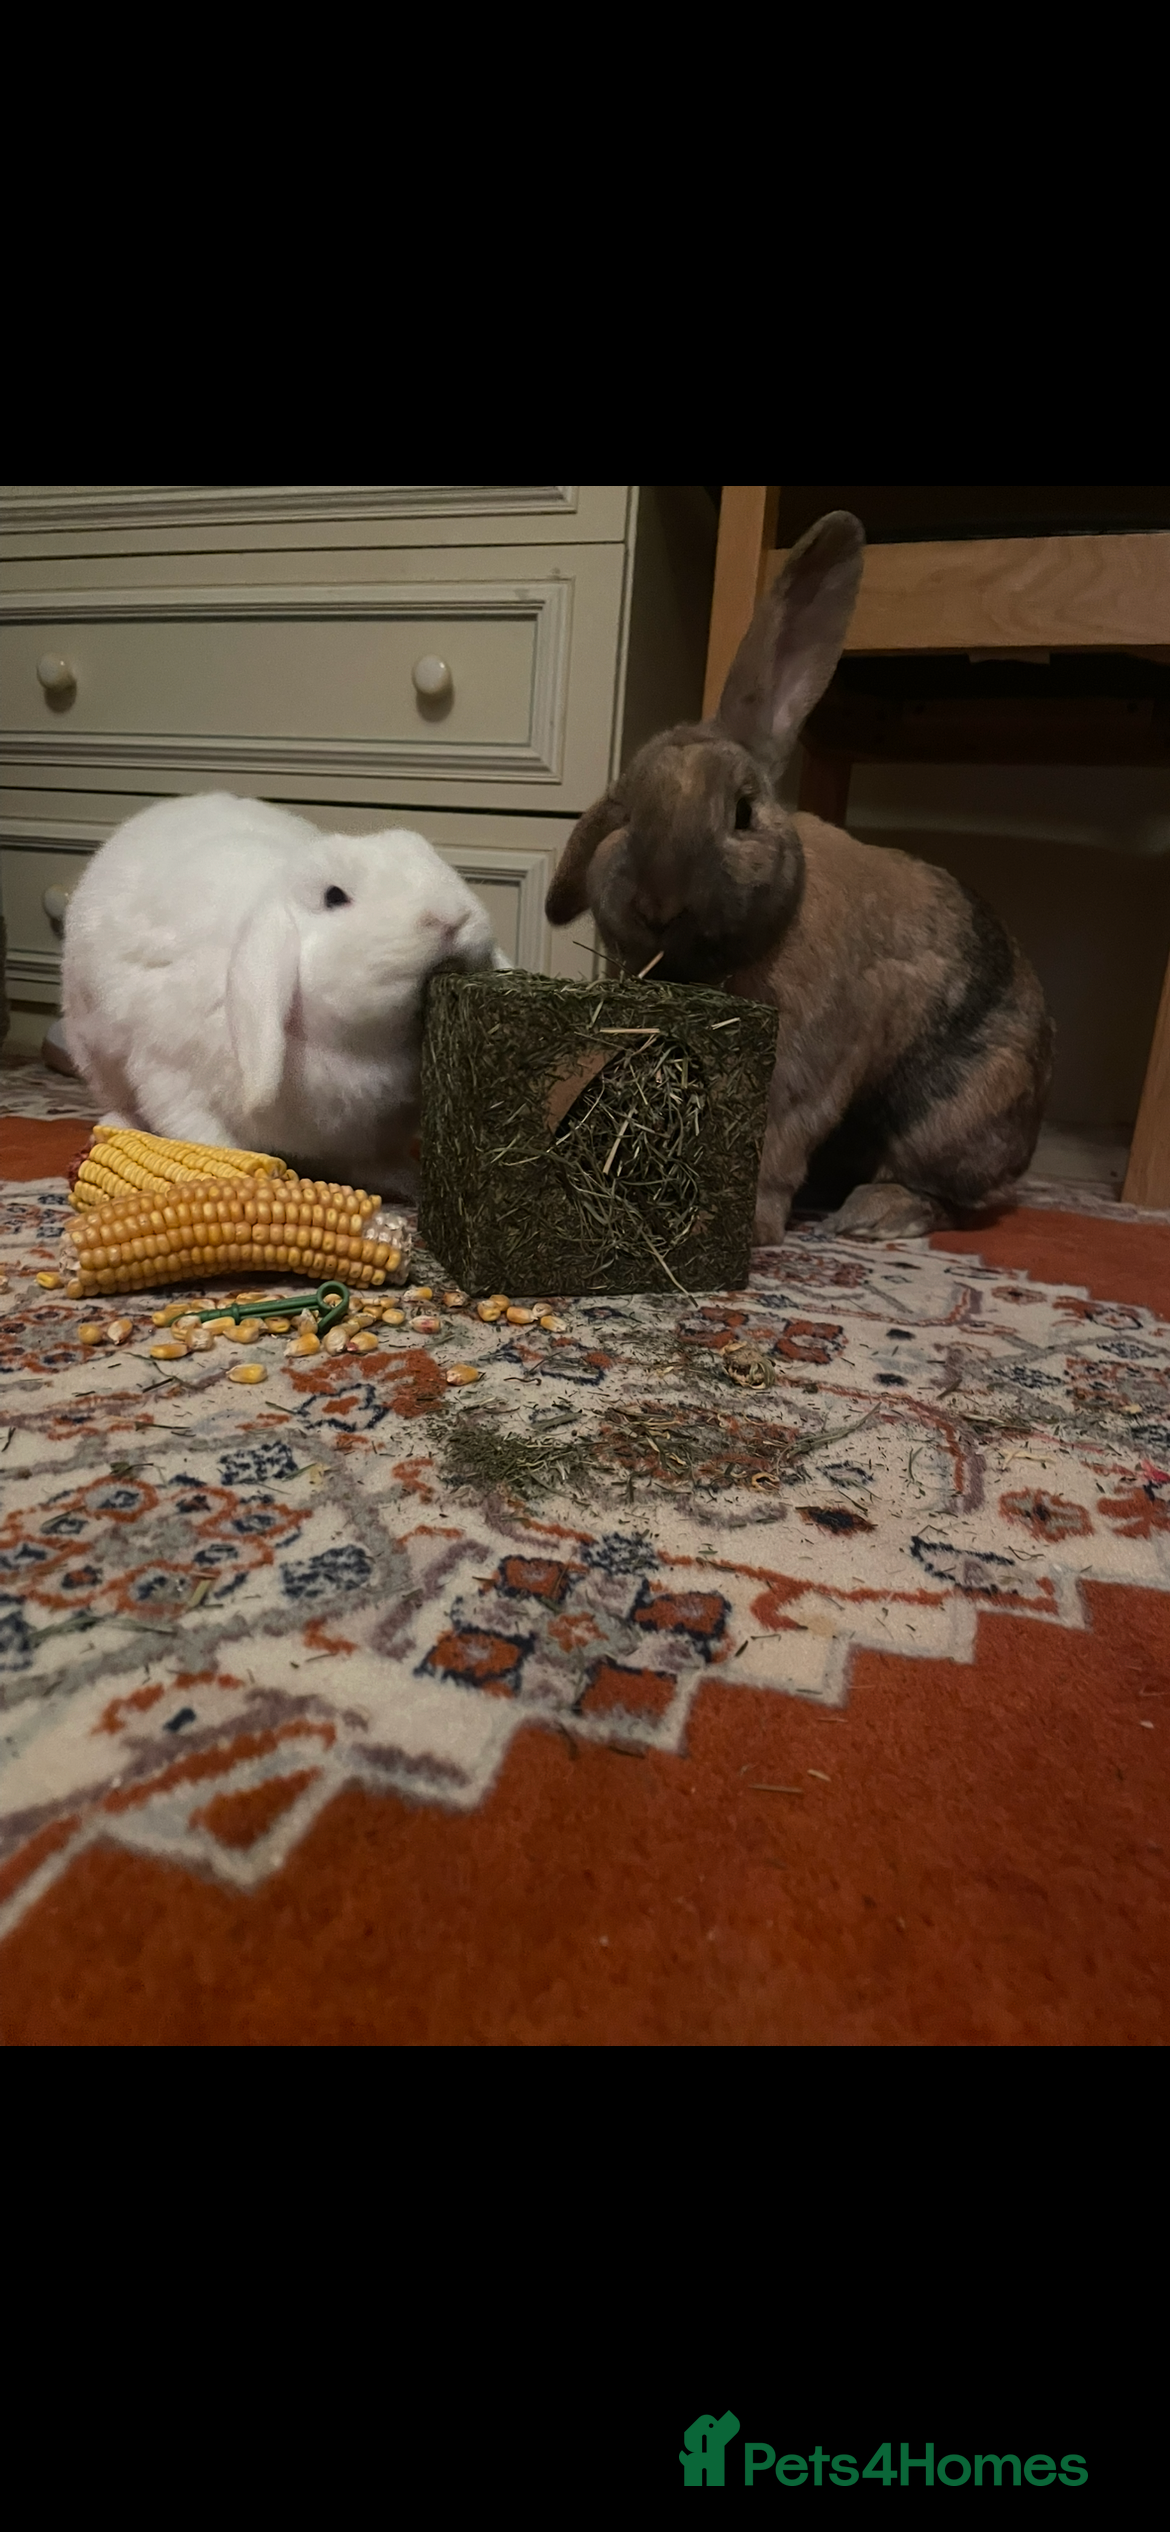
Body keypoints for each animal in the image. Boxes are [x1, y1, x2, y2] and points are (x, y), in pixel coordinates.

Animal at [61, 792, 502, 1197]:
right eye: (334, 896)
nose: (452, 917)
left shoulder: (369, 1135)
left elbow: (372, 1163)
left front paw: (407, 1183)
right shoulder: (172, 1077)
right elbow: (204, 1135)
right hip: (95, 1054)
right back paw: (116, 1126)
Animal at [545, 511, 1055, 1244]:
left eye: (743, 812)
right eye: (625, 813)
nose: (658, 902)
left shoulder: (809, 1064)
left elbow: (779, 1136)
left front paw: (751, 1227)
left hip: (955, 1117)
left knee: (944, 1193)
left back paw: (873, 1216)